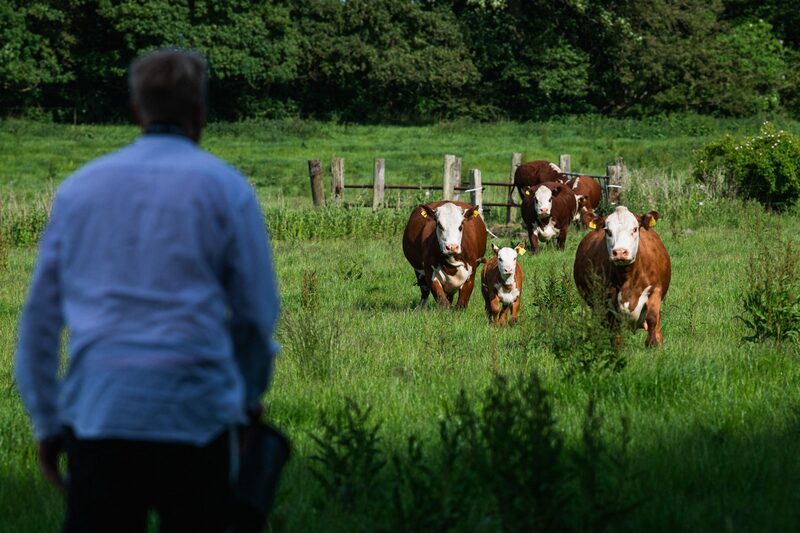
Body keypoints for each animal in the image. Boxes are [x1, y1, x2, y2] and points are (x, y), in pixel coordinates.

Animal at [573, 205, 672, 347]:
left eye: (635, 229)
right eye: (608, 231)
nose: (620, 252)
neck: (628, 277)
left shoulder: (655, 290)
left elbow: (652, 319)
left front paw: (653, 345)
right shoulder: (605, 300)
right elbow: (615, 331)